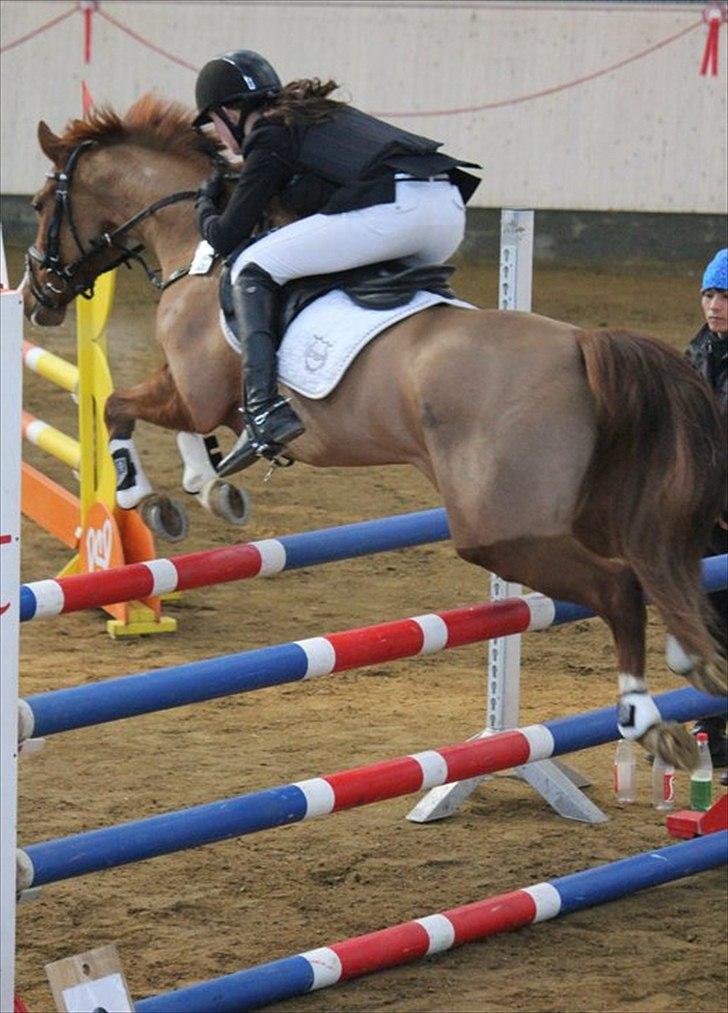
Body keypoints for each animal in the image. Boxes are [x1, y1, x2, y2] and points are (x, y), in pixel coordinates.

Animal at [23, 95, 726, 771]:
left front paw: (143, 493)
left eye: (38, 204)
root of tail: (582, 344)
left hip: (500, 531)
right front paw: (207, 485)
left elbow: (118, 407)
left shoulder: (197, 394)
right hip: (595, 503)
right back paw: (692, 657)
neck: (196, 248)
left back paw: (646, 716)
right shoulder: (200, 397)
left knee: (621, 586)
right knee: (659, 560)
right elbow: (182, 432)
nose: (35, 297)